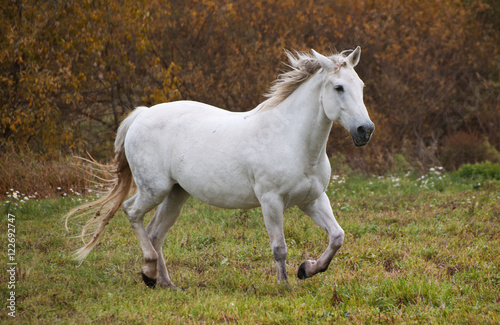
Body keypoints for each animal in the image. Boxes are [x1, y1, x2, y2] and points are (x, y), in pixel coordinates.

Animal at [66, 46, 374, 288]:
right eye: (338, 88)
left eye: (360, 86)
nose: (365, 130)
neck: (291, 139)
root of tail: (141, 114)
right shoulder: (271, 201)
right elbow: (279, 247)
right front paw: (284, 285)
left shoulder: (312, 199)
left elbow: (337, 237)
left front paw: (306, 270)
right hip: (154, 189)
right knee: (132, 213)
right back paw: (149, 272)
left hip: (176, 193)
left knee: (155, 231)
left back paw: (164, 282)